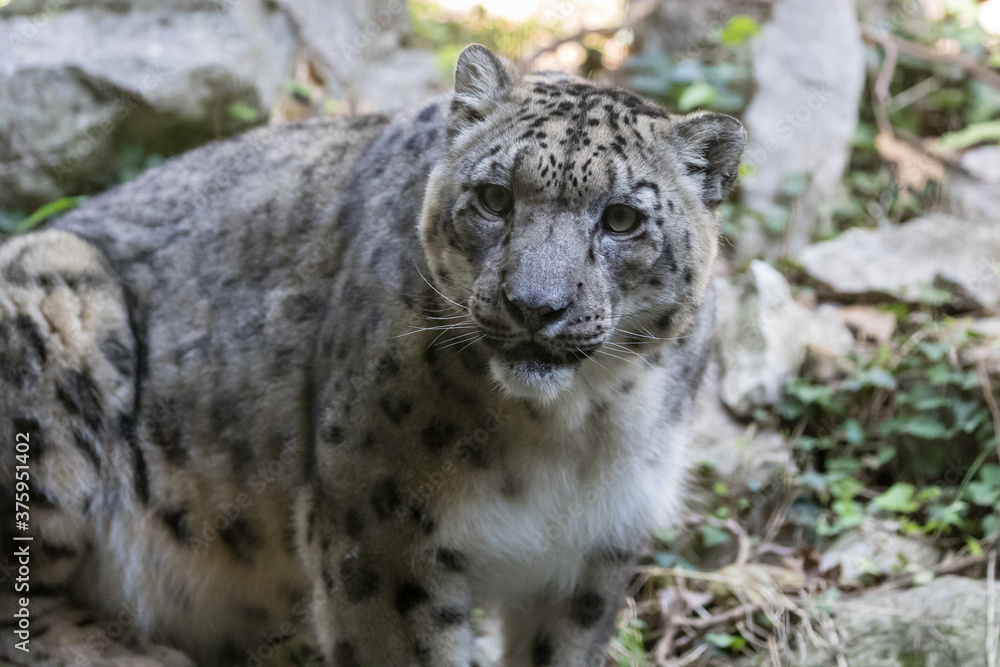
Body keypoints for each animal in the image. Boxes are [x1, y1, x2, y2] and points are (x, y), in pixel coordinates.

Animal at [0, 44, 745, 666]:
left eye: (622, 218)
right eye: (494, 198)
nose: (535, 305)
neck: (573, 429)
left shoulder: (594, 552)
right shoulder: (383, 530)